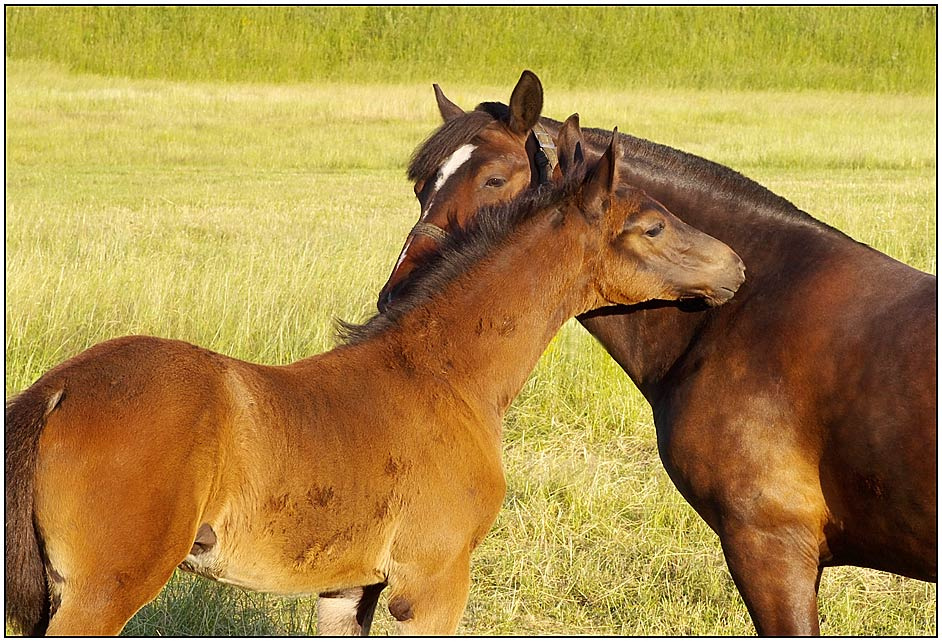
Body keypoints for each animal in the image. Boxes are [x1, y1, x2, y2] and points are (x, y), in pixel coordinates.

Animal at [4, 132, 745, 636]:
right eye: (652, 225)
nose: (735, 265)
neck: (444, 376)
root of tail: (59, 390)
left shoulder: (346, 588)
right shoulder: (434, 582)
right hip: (102, 593)